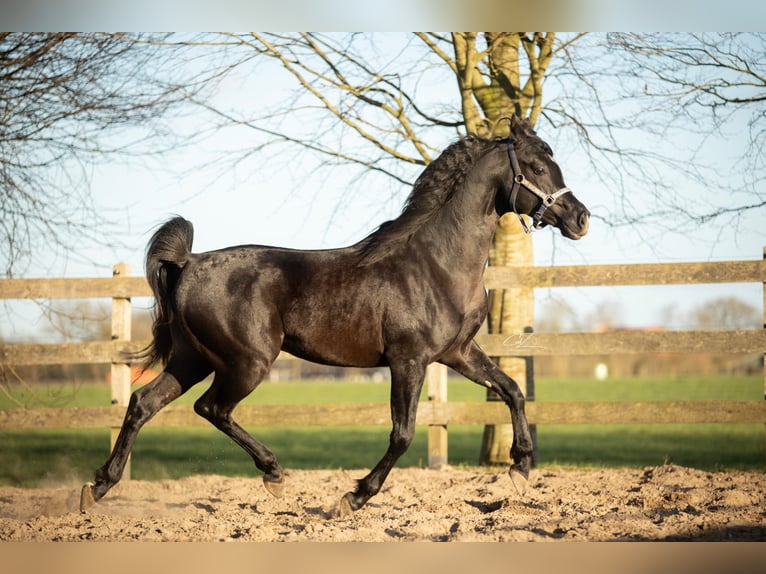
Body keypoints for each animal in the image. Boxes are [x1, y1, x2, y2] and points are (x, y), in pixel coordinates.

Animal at [80, 117, 590, 516]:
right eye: (538, 167)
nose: (581, 219)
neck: (437, 263)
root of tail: (189, 263)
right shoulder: (409, 360)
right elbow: (403, 434)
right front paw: (354, 497)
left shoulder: (458, 353)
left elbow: (512, 390)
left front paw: (520, 468)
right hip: (246, 362)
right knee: (211, 409)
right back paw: (274, 474)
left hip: (193, 359)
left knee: (143, 403)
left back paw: (98, 487)